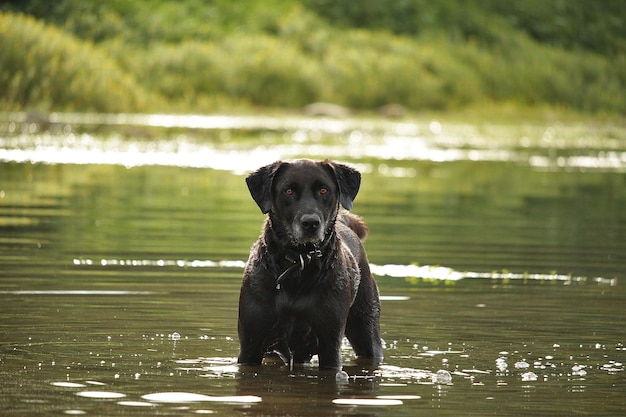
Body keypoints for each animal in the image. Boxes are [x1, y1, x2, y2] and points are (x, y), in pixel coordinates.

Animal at [236, 158, 380, 368]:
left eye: (324, 190)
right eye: (288, 191)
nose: (311, 223)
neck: (299, 266)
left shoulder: (330, 345)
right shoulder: (251, 345)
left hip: (366, 329)